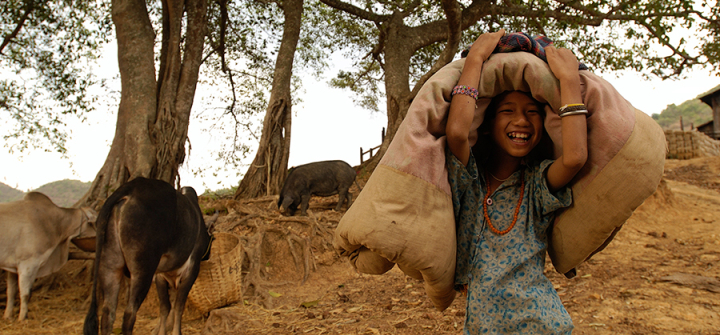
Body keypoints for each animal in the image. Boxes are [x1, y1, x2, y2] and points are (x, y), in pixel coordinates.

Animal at [0, 192, 95, 320]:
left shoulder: (13, 266)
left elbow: (11, 291)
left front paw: (8, 316)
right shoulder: (28, 264)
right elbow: (25, 293)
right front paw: (22, 317)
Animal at [84, 178, 212, 335]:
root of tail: (130, 188)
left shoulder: (160, 275)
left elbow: (165, 307)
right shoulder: (191, 270)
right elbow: (178, 307)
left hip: (110, 267)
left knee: (108, 313)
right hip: (143, 270)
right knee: (129, 314)